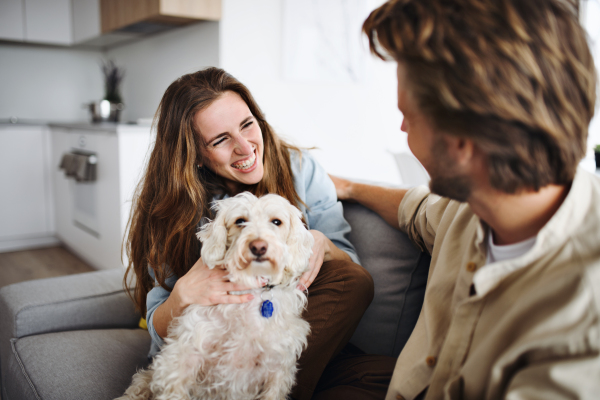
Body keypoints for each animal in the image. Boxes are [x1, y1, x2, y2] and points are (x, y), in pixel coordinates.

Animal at [117, 192, 314, 398]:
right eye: (240, 221)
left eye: (276, 222)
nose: (258, 246)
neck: (251, 285)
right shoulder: (182, 354)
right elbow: (174, 389)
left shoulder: (277, 368)